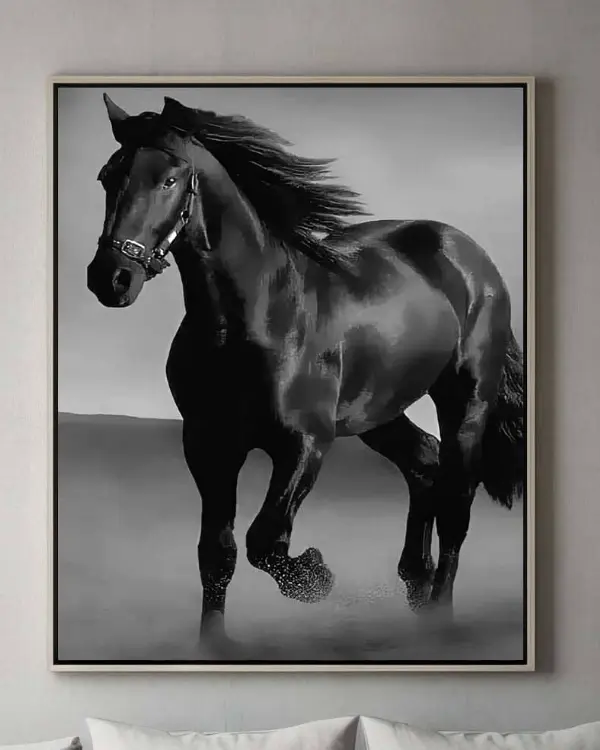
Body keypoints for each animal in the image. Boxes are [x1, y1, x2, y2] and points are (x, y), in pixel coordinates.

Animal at [86, 93, 525, 643]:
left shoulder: (306, 442)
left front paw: (316, 577)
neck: (254, 317)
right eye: (108, 176)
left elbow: (265, 539)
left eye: (168, 179)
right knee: (424, 462)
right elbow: (218, 553)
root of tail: (471, 256)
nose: (111, 278)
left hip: (466, 398)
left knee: (456, 500)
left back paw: (439, 614)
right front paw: (214, 643)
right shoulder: (208, 445)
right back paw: (415, 584)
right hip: (377, 411)